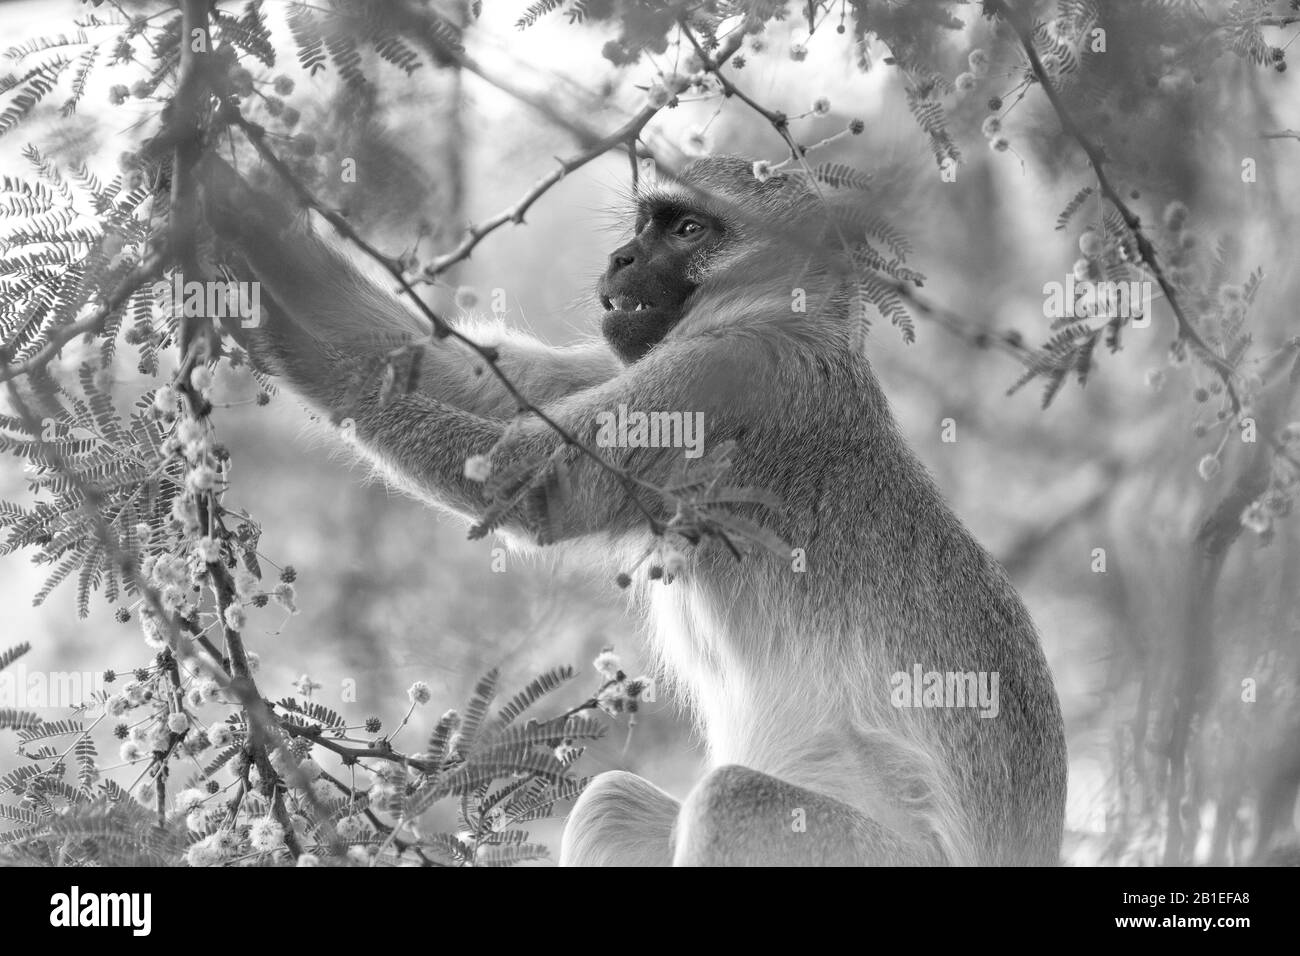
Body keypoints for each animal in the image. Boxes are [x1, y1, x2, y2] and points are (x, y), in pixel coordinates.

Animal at [197, 151, 1060, 868]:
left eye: (687, 228)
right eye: (646, 225)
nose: (620, 258)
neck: (785, 316)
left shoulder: (728, 373)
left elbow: (529, 481)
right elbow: (473, 380)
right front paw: (236, 230)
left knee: (730, 801)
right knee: (613, 802)